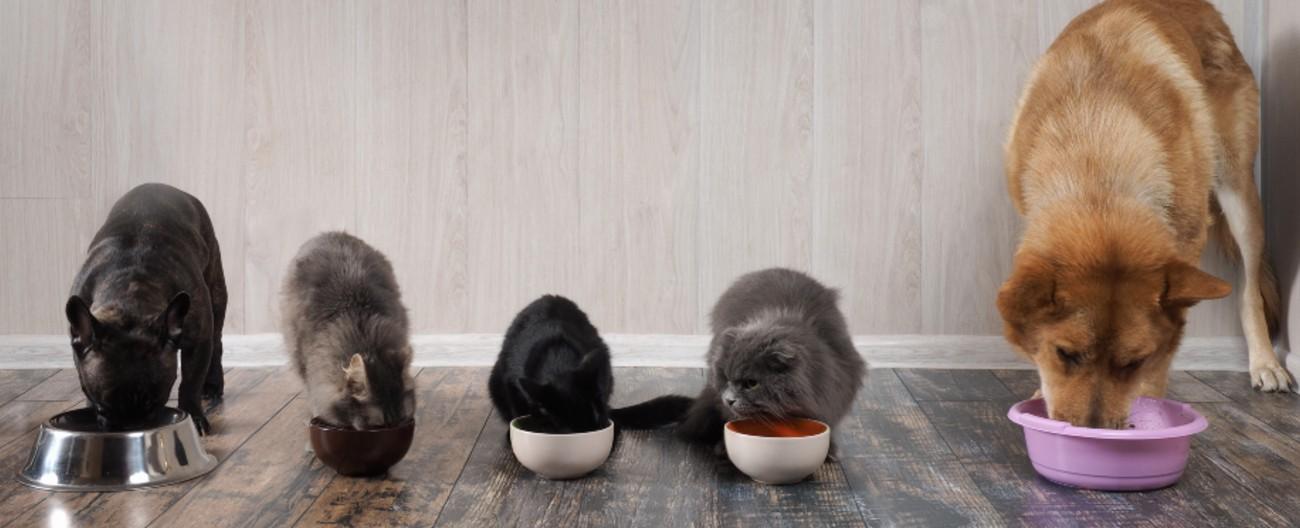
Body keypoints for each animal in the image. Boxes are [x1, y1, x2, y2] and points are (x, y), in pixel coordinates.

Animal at [65, 183, 227, 434]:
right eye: (103, 407)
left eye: (156, 402)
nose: (131, 428)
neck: (131, 294)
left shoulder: (198, 340)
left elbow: (190, 382)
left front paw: (193, 417)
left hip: (216, 289)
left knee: (217, 340)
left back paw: (212, 385)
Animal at [993, 0, 1289, 426]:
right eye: (1065, 354)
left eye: (1134, 361)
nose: (1093, 435)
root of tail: (1205, 8)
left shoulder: (1186, 244)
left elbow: (1166, 353)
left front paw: (1150, 402)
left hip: (1239, 191)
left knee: (1249, 289)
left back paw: (1265, 363)